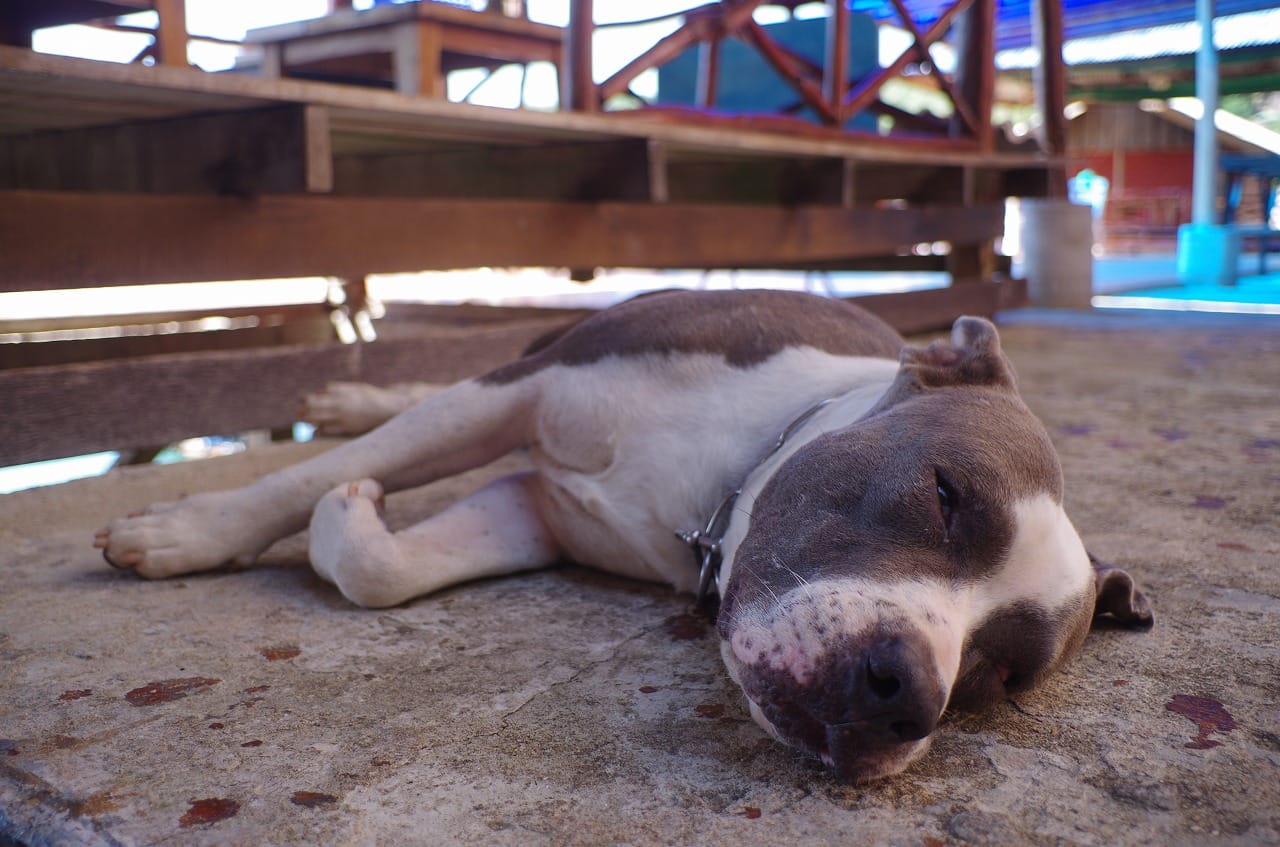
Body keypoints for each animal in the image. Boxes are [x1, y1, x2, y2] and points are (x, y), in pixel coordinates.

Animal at [94, 289, 1153, 782]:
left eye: (1001, 677)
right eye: (944, 494)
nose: (909, 695)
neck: (719, 480)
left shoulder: (533, 510)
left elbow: (374, 562)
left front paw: (351, 512)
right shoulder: (526, 390)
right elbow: (309, 478)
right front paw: (188, 528)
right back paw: (350, 400)